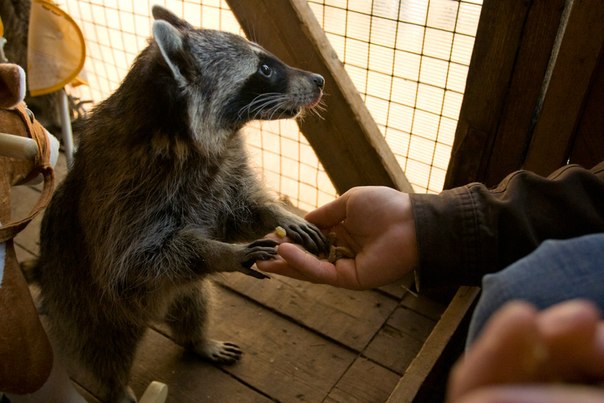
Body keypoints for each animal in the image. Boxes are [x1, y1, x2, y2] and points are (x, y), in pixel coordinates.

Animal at [33, 6, 326, 403]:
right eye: (264, 69)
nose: (319, 80)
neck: (175, 133)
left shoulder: (225, 169)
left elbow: (235, 215)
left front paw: (277, 213)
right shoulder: (125, 194)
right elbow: (132, 263)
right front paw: (223, 252)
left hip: (178, 291)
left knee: (194, 304)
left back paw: (198, 340)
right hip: (85, 308)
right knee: (104, 351)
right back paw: (117, 387)